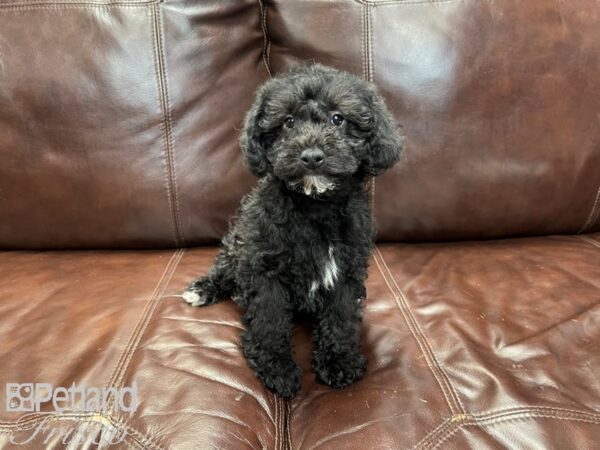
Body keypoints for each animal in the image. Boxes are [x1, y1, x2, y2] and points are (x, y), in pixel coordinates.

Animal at [184, 63, 404, 398]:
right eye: (287, 121)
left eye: (338, 118)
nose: (312, 156)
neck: (313, 205)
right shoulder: (264, 268)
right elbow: (270, 319)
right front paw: (276, 368)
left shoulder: (345, 270)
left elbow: (340, 316)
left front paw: (339, 361)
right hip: (238, 244)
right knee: (225, 270)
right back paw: (202, 289)